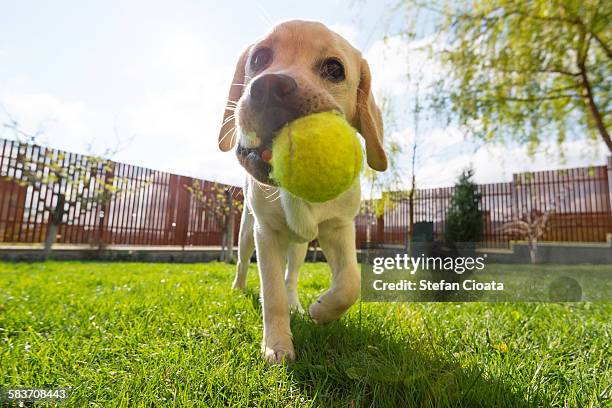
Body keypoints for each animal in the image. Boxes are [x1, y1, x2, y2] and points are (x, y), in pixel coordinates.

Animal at [218, 19, 384, 364]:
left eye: (334, 69)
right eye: (259, 58)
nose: (268, 87)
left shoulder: (339, 227)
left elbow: (350, 283)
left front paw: (320, 311)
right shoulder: (265, 234)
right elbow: (272, 296)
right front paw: (277, 346)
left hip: (300, 247)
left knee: (291, 277)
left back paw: (297, 303)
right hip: (246, 232)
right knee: (242, 263)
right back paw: (238, 288)